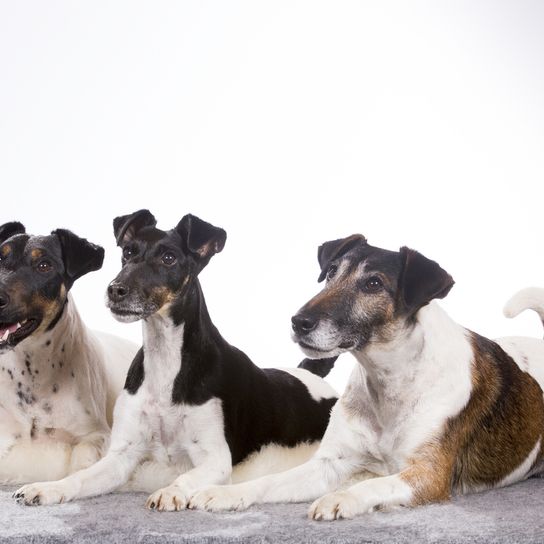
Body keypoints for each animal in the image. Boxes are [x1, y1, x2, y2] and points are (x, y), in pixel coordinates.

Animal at [186, 236, 544, 520]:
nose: (299, 321)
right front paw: (224, 493)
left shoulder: (428, 476)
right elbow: (268, 481)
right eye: (331, 272)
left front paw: (340, 497)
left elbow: (373, 484)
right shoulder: (328, 464)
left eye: (373, 284)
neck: (389, 379)